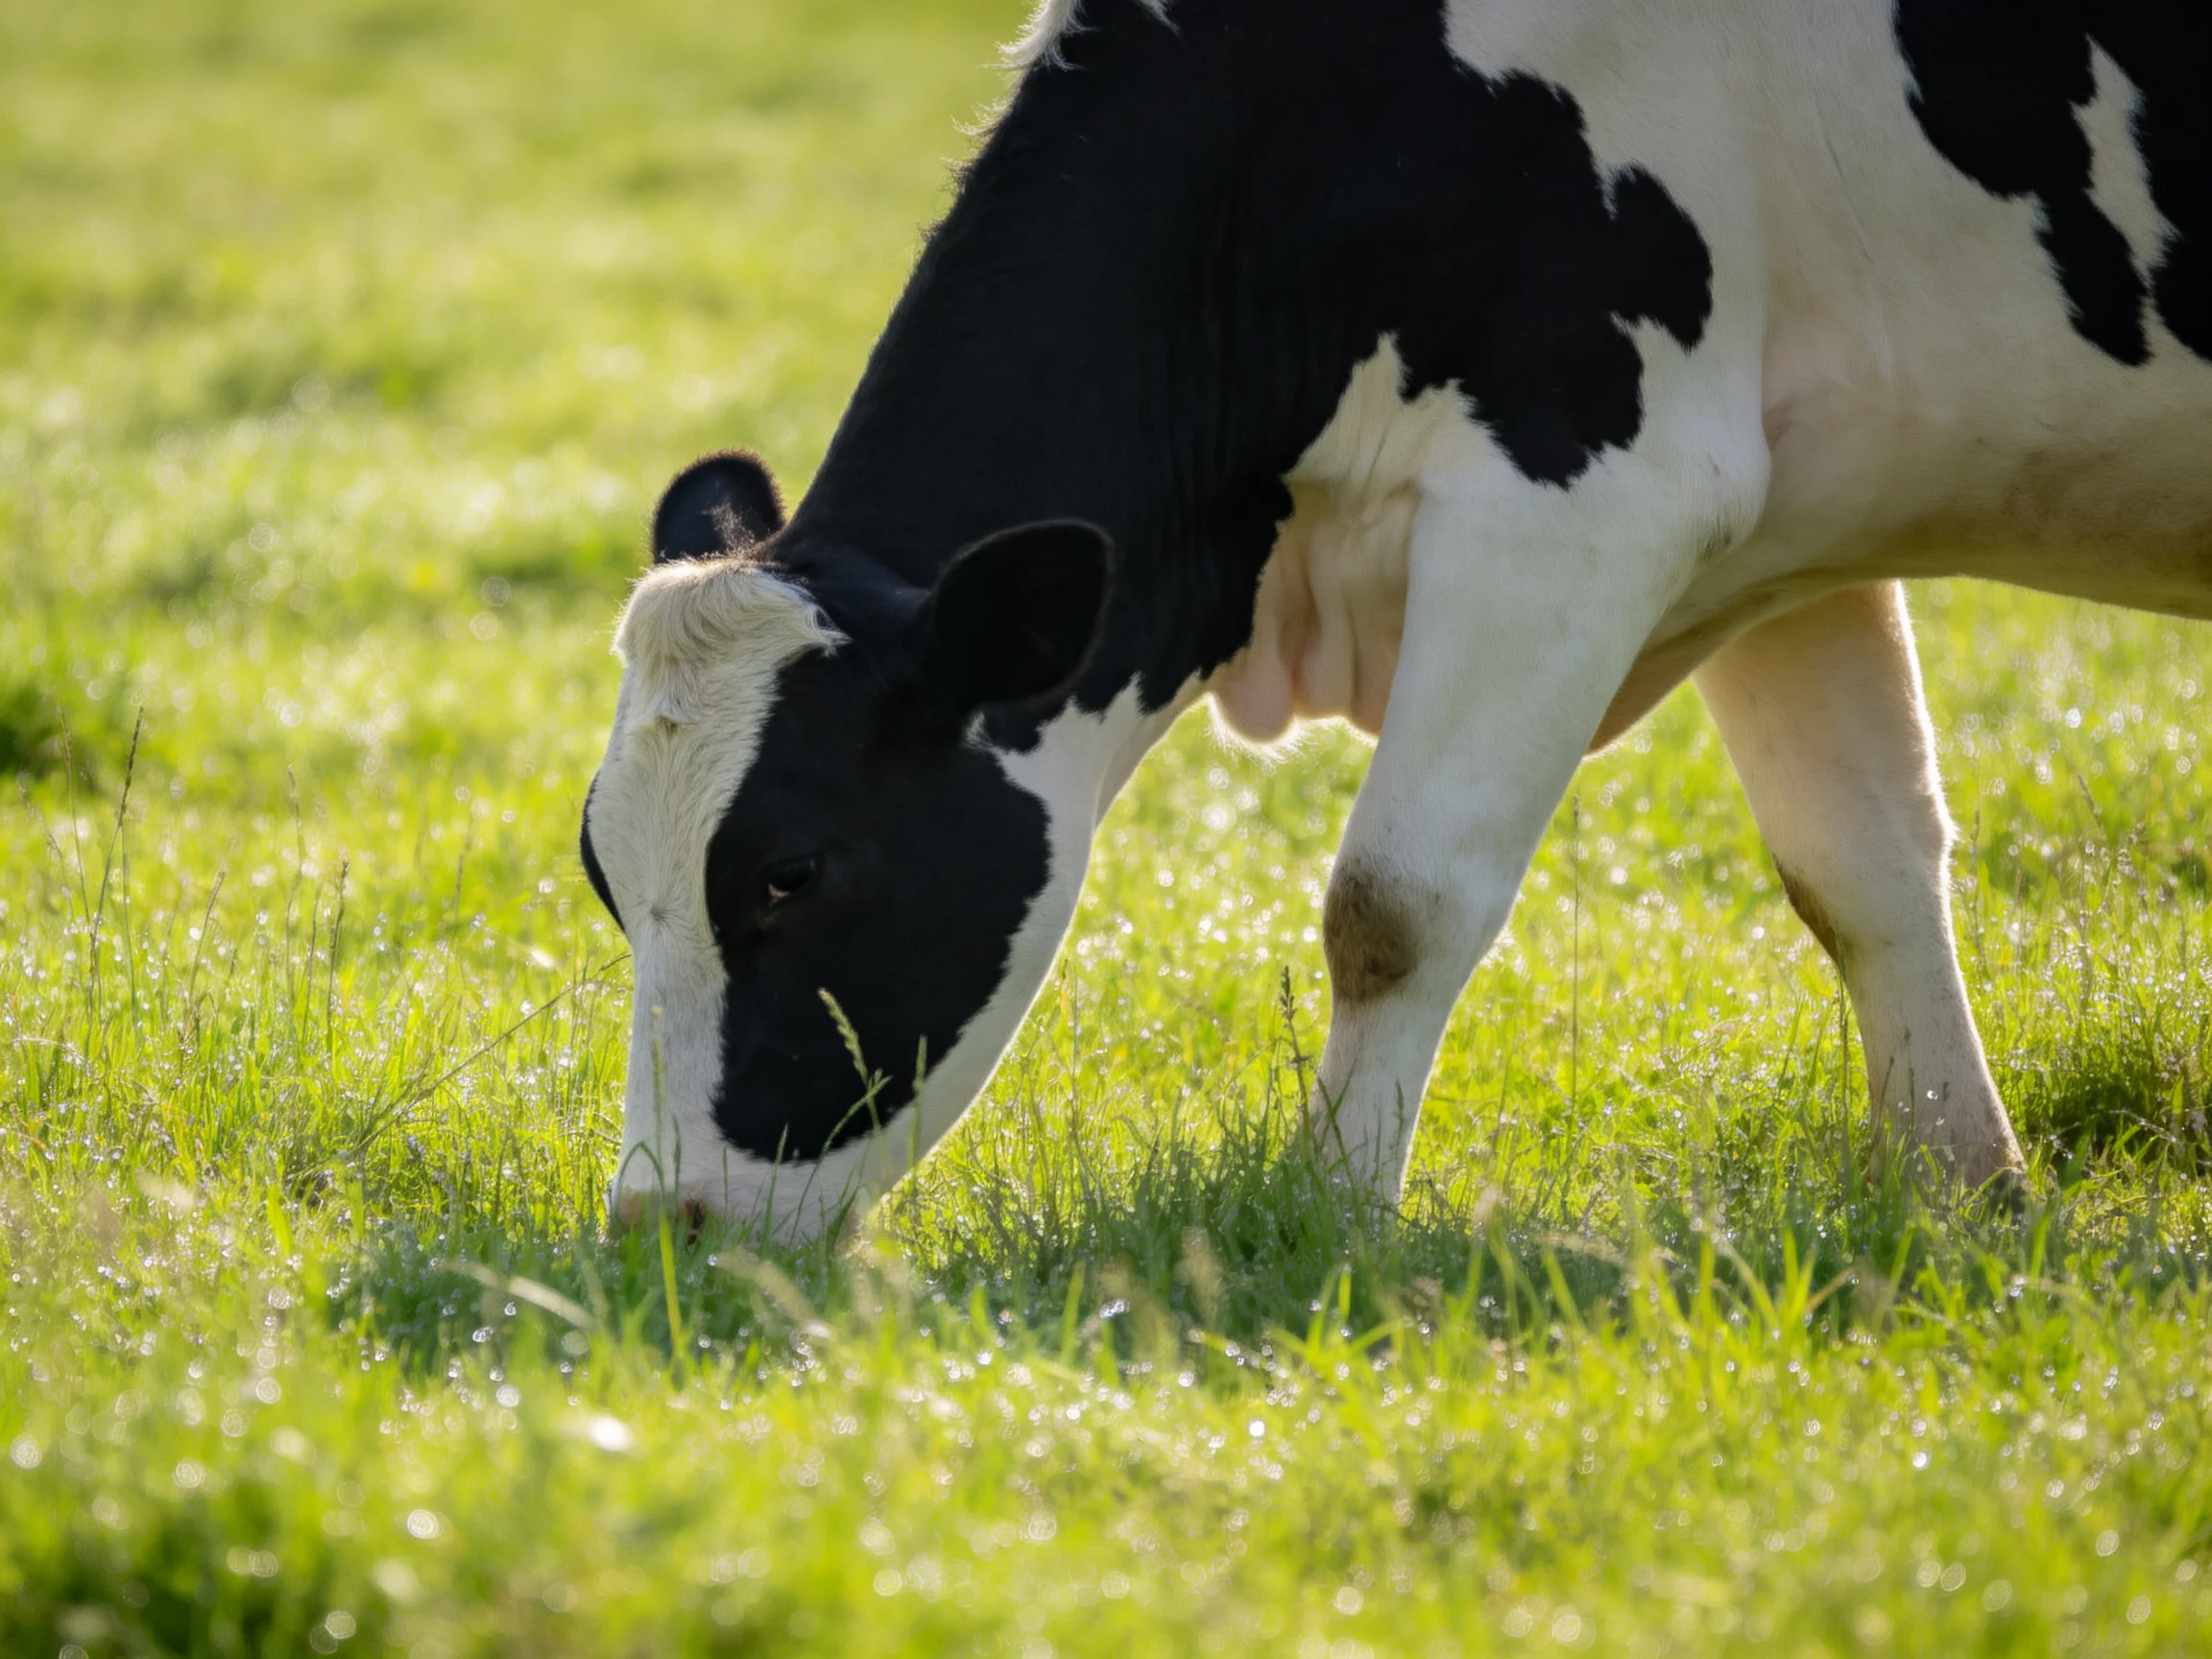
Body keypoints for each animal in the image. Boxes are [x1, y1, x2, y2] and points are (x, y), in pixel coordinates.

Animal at [582, 0, 2212, 1236]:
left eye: (790, 871)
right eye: (606, 876)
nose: (666, 1228)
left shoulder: (1585, 490)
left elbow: (1394, 901)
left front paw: (1332, 1217)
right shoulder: (1789, 520)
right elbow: (1861, 866)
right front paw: (1963, 1194)